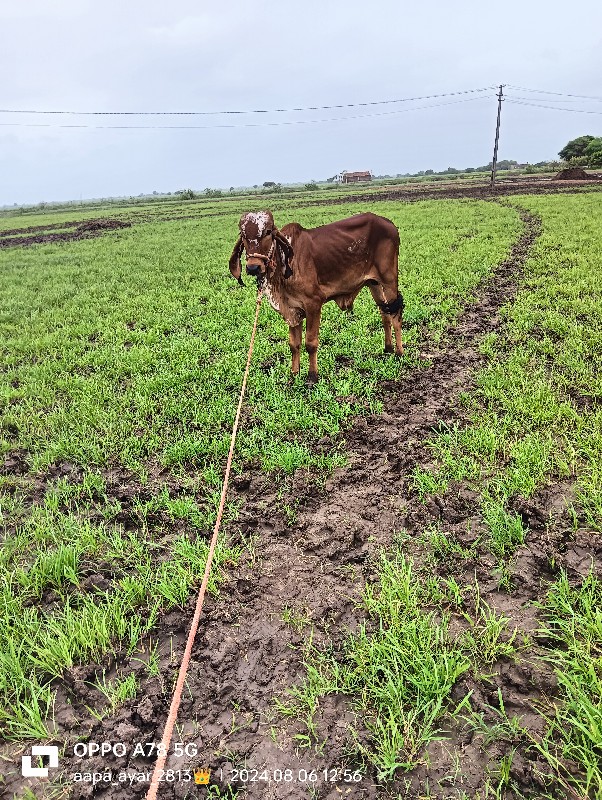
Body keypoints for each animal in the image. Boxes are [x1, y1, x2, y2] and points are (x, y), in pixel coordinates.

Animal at [230, 209, 404, 384]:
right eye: (243, 235)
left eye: (267, 232)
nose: (253, 267)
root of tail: (389, 224)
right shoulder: (293, 309)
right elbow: (294, 344)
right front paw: (294, 374)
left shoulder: (313, 304)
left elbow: (310, 343)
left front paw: (312, 376)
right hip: (374, 283)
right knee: (385, 313)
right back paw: (388, 349)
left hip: (389, 279)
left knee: (396, 314)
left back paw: (399, 352)